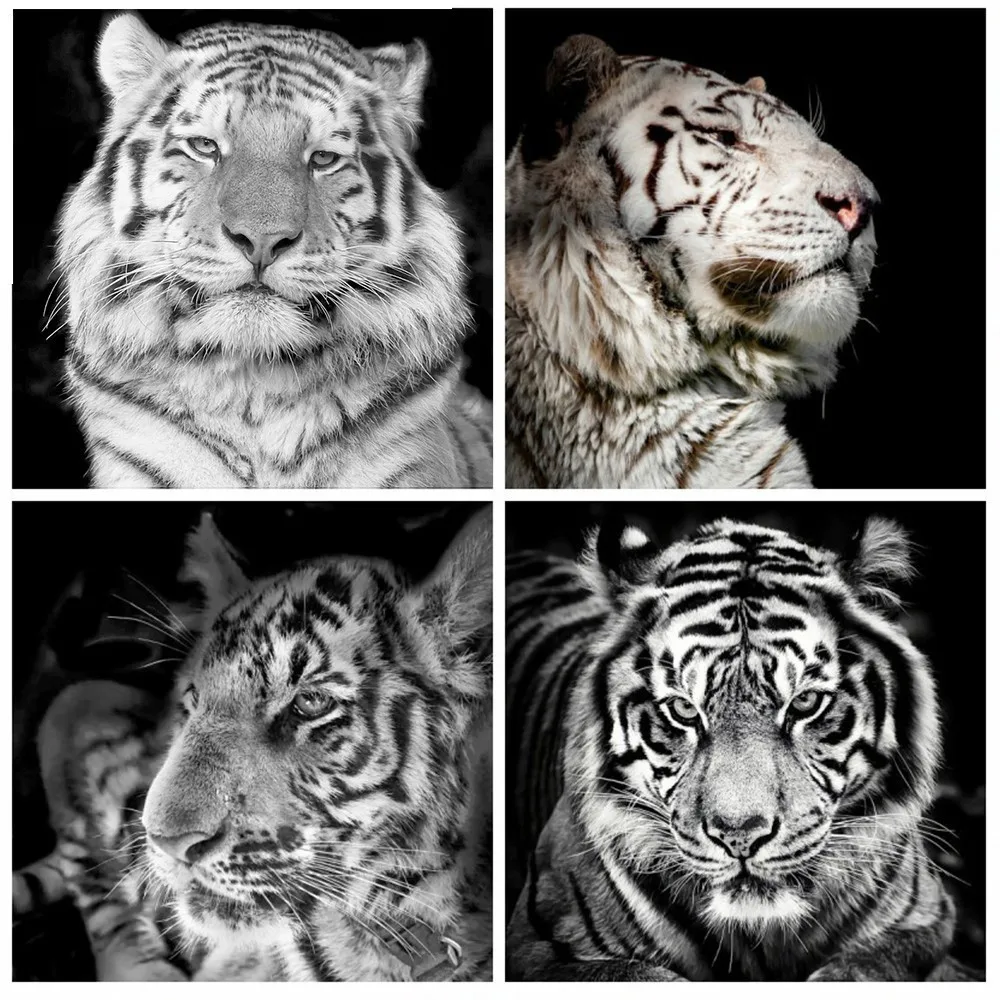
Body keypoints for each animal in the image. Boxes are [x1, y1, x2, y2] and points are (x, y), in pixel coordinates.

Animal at [506, 515, 962, 980]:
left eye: (805, 703)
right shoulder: (536, 946)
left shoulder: (924, 921)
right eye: (683, 710)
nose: (740, 836)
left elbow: (860, 969)